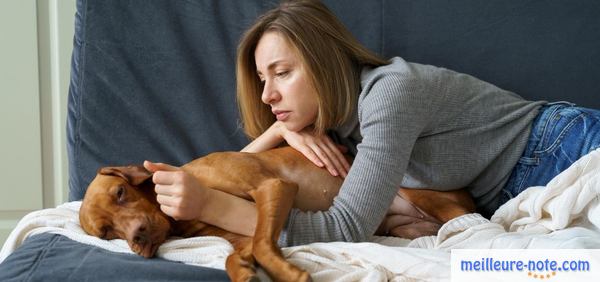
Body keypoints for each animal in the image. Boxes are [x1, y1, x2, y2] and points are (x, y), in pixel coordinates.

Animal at [78, 147, 474, 280]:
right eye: (106, 232)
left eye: (120, 193)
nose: (137, 238)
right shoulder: (240, 238)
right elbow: (236, 255)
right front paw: (244, 273)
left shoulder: (274, 188)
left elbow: (265, 244)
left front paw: (288, 274)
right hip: (405, 226)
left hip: (422, 192)